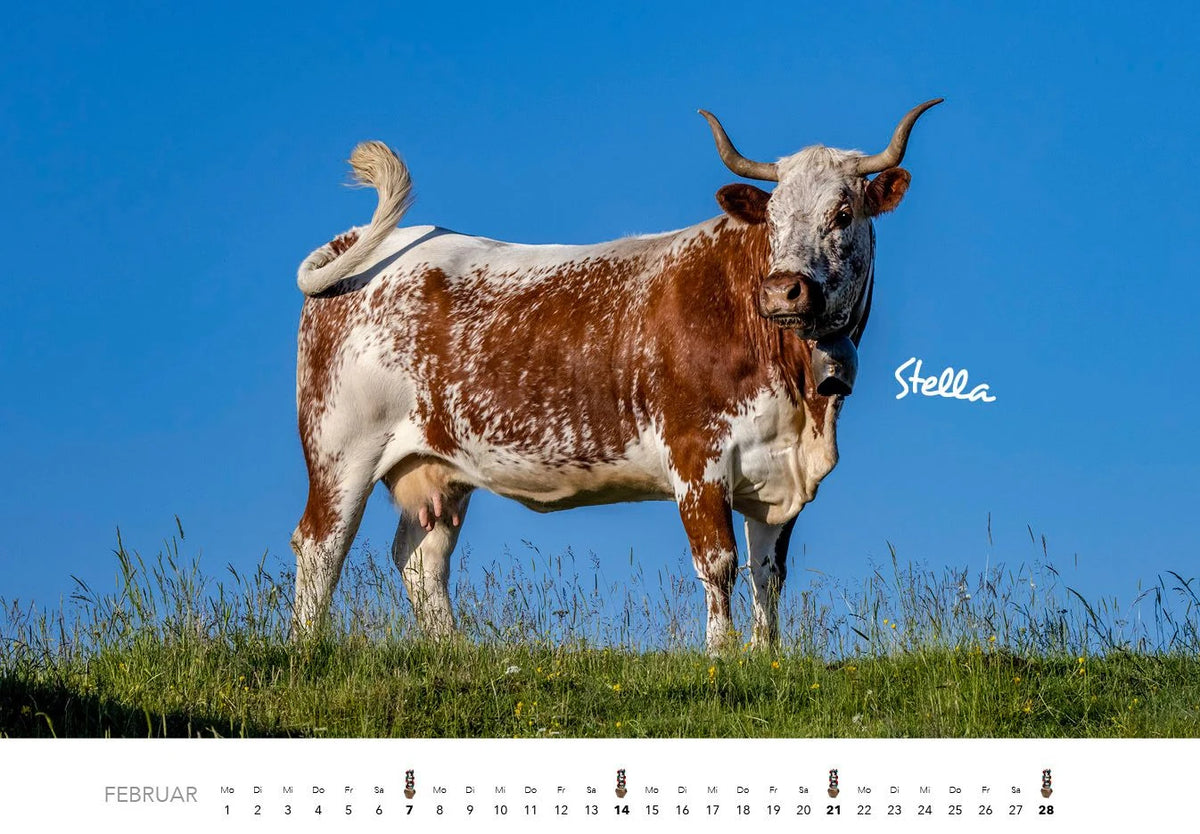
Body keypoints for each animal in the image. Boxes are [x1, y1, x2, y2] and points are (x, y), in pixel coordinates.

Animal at [290, 99, 941, 652]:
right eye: (773, 218)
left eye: (844, 213)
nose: (785, 288)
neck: (803, 399)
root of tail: (367, 243)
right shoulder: (696, 458)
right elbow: (719, 564)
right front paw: (722, 657)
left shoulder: (775, 472)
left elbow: (768, 573)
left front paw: (766, 658)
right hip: (341, 448)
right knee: (320, 546)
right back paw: (306, 650)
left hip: (437, 466)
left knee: (423, 560)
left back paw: (454, 654)